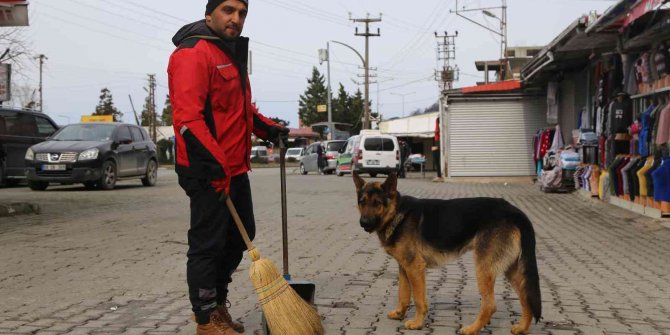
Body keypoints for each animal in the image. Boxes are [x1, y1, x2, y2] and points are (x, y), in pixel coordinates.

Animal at [354, 173, 544, 335]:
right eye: (362, 202)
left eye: (377, 203)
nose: (363, 223)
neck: (397, 213)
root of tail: (515, 211)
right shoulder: (404, 267)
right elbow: (403, 295)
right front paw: (400, 314)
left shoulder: (415, 268)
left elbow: (418, 299)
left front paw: (417, 323)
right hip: (512, 271)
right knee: (527, 297)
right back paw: (522, 328)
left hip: (484, 269)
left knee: (490, 305)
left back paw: (472, 329)